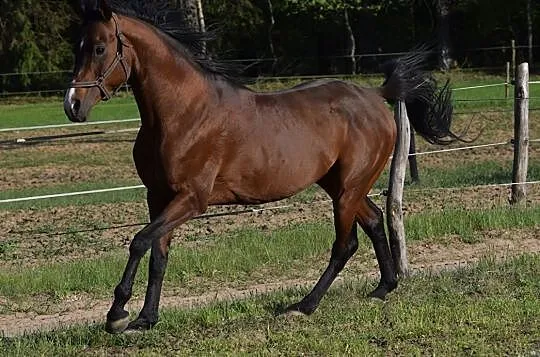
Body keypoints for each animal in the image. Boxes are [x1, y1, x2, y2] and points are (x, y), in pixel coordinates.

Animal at [65, 0, 458, 334]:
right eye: (77, 47)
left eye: (99, 48)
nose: (73, 105)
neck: (184, 114)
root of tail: (376, 95)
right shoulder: (158, 196)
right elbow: (158, 254)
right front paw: (145, 319)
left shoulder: (191, 199)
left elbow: (139, 241)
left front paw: (117, 315)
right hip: (340, 185)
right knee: (375, 220)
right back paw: (382, 289)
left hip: (348, 189)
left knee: (345, 244)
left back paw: (303, 306)